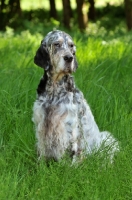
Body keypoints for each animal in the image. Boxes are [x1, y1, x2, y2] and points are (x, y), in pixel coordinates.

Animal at [32, 30, 119, 162]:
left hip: (106, 139)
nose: (69, 58)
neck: (54, 92)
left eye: (71, 45)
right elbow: (42, 151)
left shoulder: (70, 126)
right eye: (56, 44)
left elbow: (72, 153)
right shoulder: (41, 124)